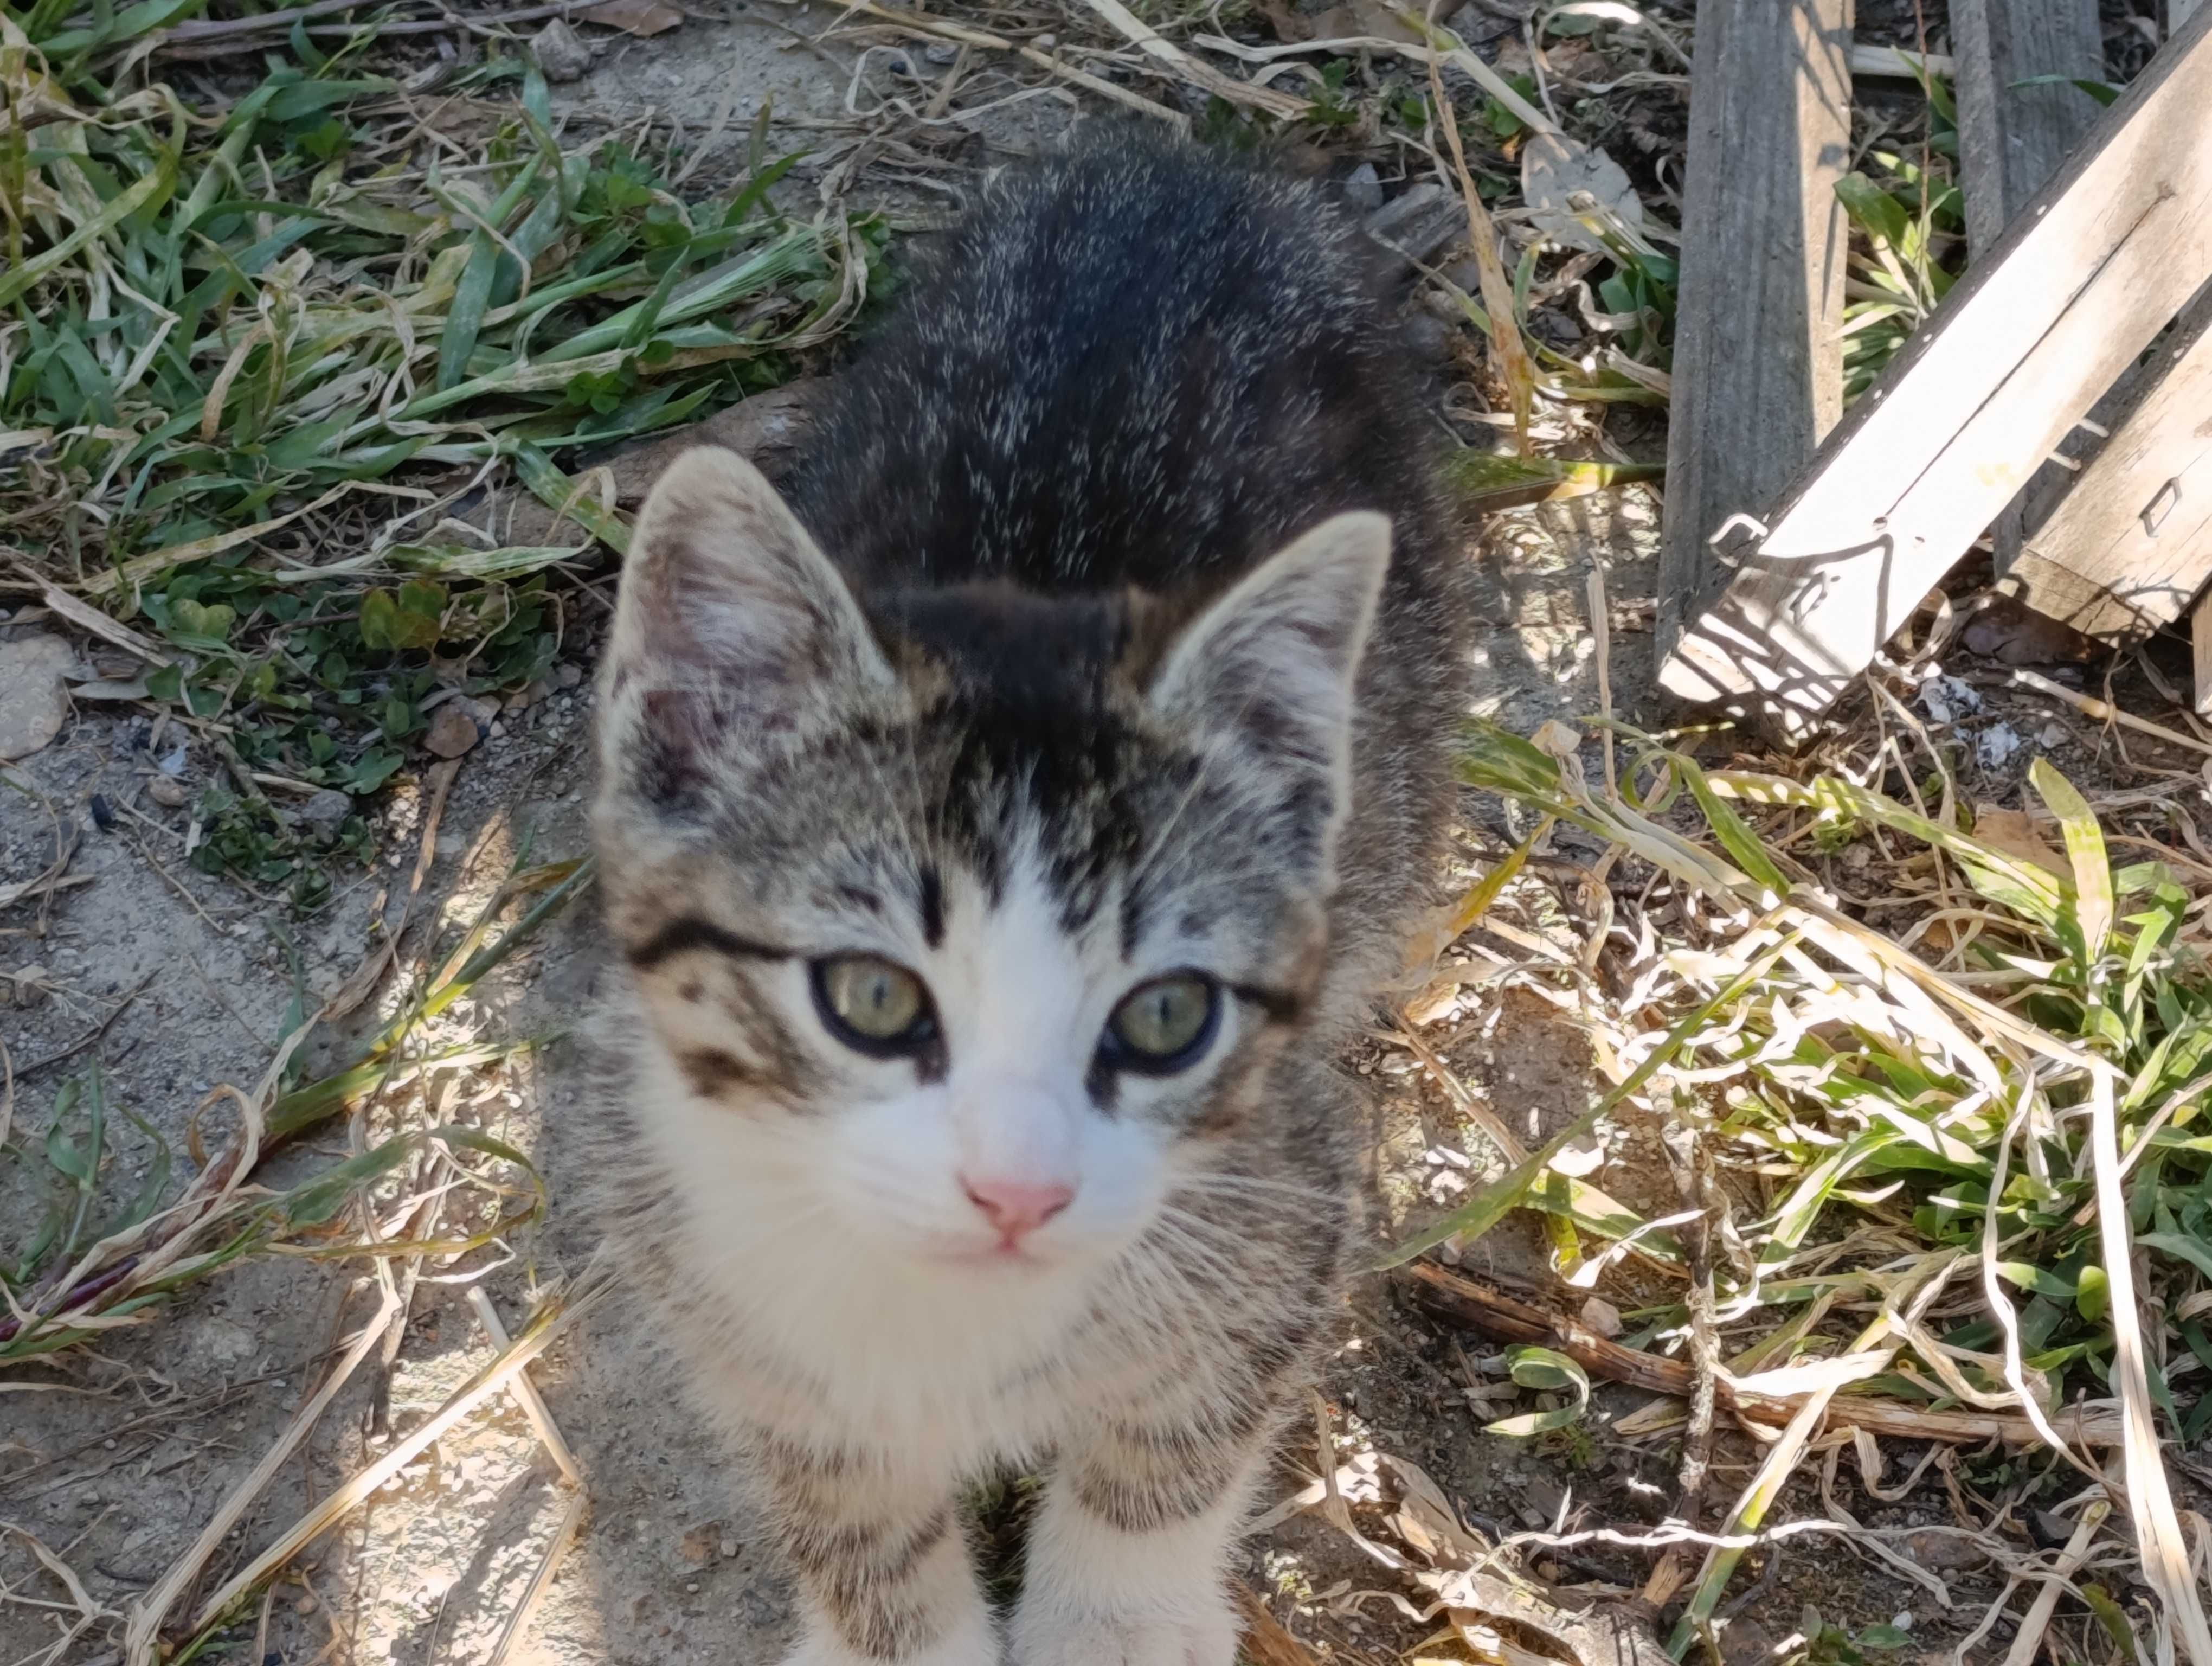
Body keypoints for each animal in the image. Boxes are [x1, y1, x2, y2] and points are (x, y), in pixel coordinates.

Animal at [588, 133, 1469, 1663]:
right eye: (871, 997)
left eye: (1167, 1017)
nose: (1019, 1191)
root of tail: (1188, 167)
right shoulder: (714, 1291)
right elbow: (847, 1514)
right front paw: (890, 1626)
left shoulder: (1285, 1199)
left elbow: (1176, 1441)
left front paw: (1117, 1617)